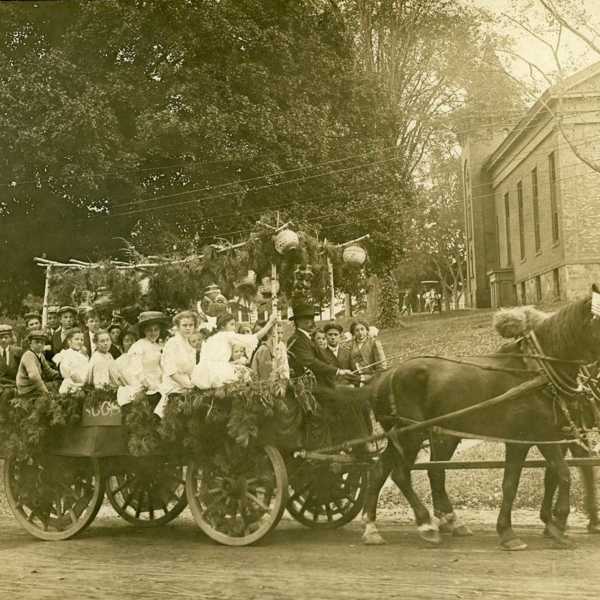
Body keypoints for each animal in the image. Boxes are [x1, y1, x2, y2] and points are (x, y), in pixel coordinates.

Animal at [358, 288, 600, 552]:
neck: (537, 371)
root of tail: (384, 376)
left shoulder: (532, 440)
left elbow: (519, 481)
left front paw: (517, 530)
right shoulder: (541, 436)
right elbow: (561, 475)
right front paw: (553, 526)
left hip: (414, 435)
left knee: (384, 469)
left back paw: (375, 527)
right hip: (412, 434)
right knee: (401, 473)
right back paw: (426, 524)